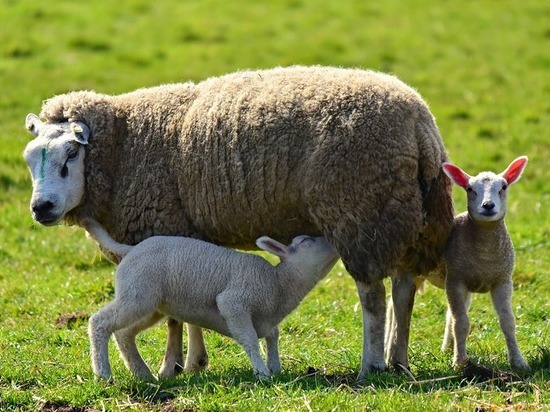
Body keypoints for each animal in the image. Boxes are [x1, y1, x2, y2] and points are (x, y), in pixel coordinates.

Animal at [84, 219, 340, 380]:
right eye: (306, 241)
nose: (332, 240)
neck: (277, 283)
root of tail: (129, 250)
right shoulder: (234, 302)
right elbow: (249, 339)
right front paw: (262, 373)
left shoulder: (267, 319)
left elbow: (273, 335)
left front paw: (275, 366)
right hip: (138, 293)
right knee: (99, 322)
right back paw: (103, 374)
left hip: (151, 303)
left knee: (123, 333)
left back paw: (142, 374)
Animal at [386, 156, 532, 372]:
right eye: (469, 189)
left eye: (504, 187)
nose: (488, 205)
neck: (485, 255)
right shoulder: (455, 280)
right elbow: (461, 323)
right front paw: (459, 363)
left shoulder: (502, 281)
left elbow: (507, 322)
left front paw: (519, 362)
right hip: (410, 269)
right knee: (392, 307)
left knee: (448, 313)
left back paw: (448, 348)